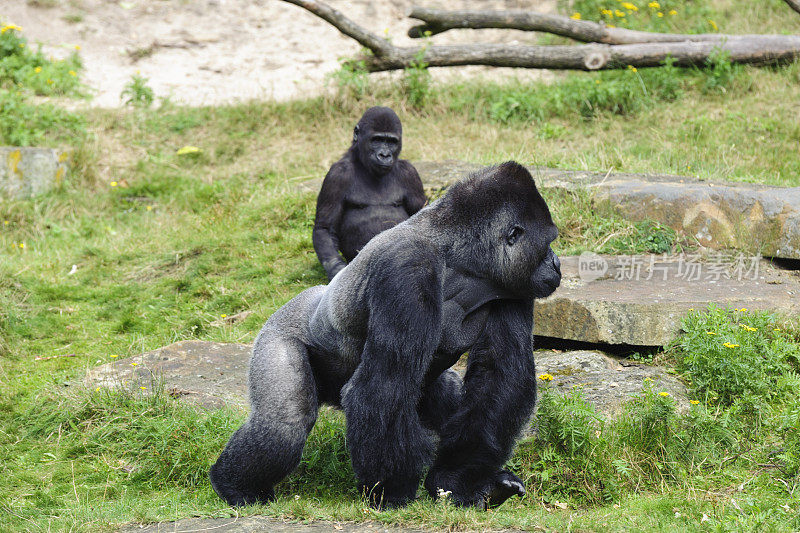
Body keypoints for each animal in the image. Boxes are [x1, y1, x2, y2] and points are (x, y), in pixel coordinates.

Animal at [212, 161, 564, 508]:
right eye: (548, 243)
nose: (557, 262)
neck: (459, 259)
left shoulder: (512, 285)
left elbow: (499, 376)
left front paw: (458, 482)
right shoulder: (407, 266)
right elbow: (384, 386)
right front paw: (391, 493)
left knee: (448, 395)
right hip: (277, 331)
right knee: (284, 424)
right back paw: (232, 486)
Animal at [312, 104, 428, 278]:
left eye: (391, 142)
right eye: (377, 140)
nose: (385, 155)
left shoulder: (410, 173)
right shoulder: (336, 175)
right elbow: (324, 228)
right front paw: (337, 270)